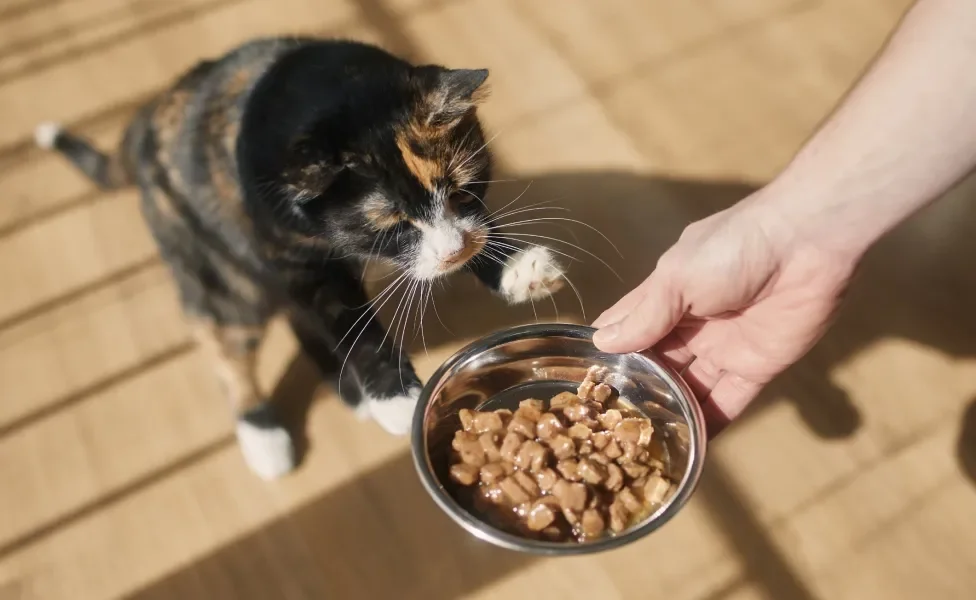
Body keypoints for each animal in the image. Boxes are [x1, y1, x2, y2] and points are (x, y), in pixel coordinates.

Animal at [36, 36, 564, 478]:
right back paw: (265, 437)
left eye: (459, 192)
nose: (454, 251)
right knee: (232, 351)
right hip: (223, 279)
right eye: (392, 224)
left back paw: (346, 390)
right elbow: (349, 322)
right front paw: (394, 397)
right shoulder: (293, 258)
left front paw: (518, 267)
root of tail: (147, 120)